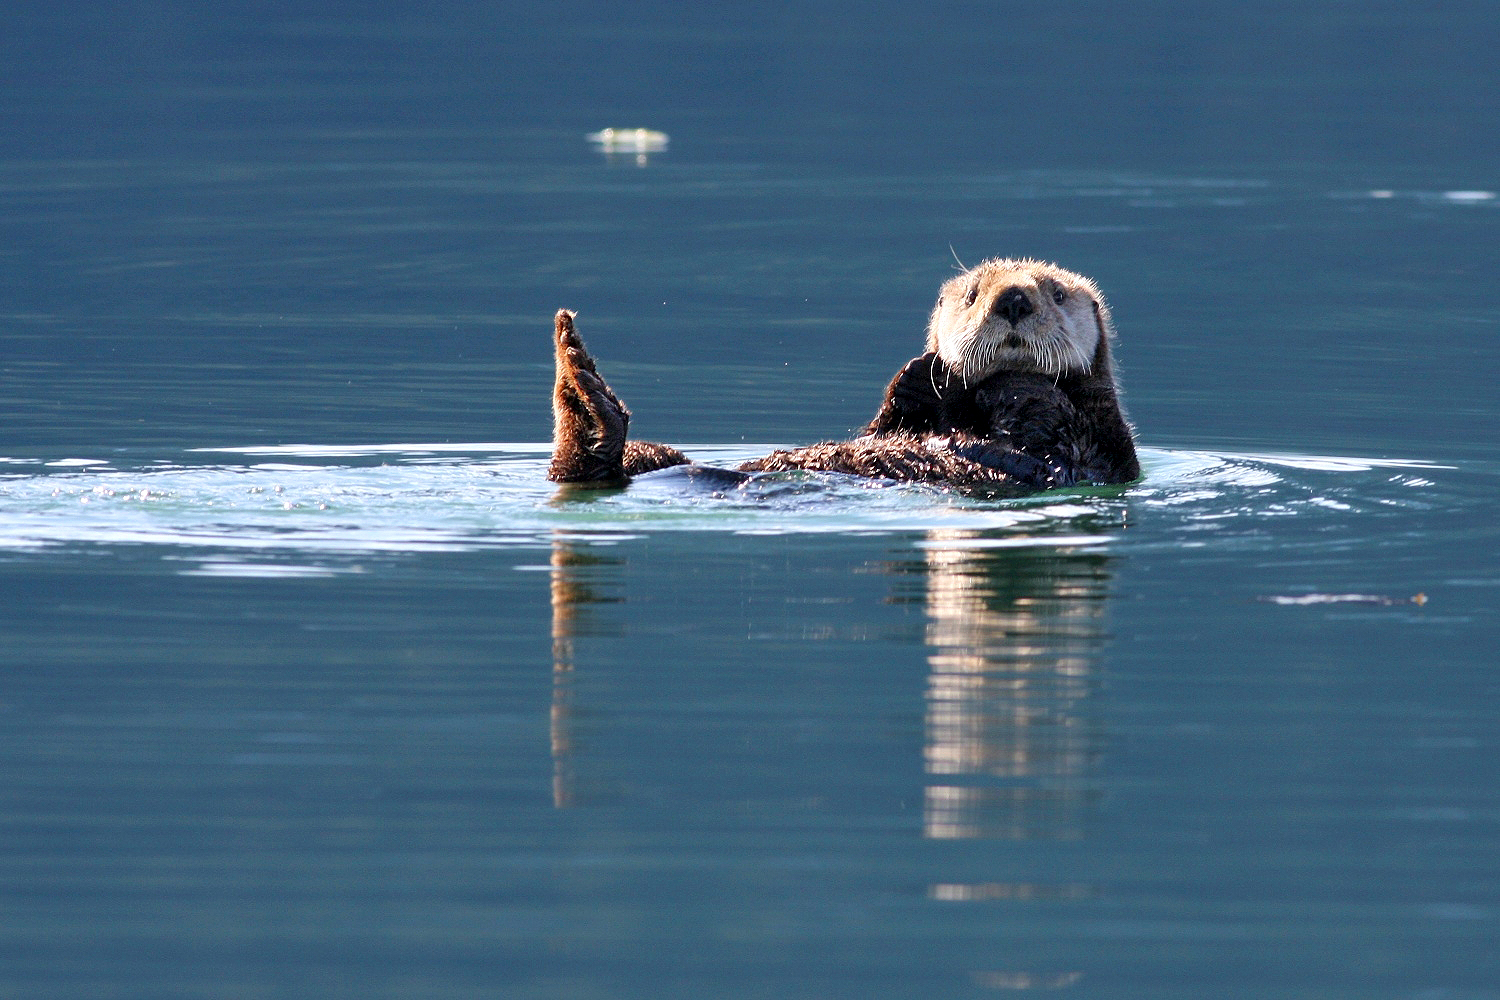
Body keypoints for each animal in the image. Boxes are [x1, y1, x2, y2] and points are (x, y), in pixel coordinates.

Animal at [547, 258, 1140, 493]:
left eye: (1057, 294)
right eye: (973, 294)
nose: (1013, 299)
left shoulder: (1100, 449)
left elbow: (1054, 425)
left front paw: (1012, 385)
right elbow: (889, 423)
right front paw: (922, 373)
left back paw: (582, 386)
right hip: (656, 458)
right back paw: (576, 373)